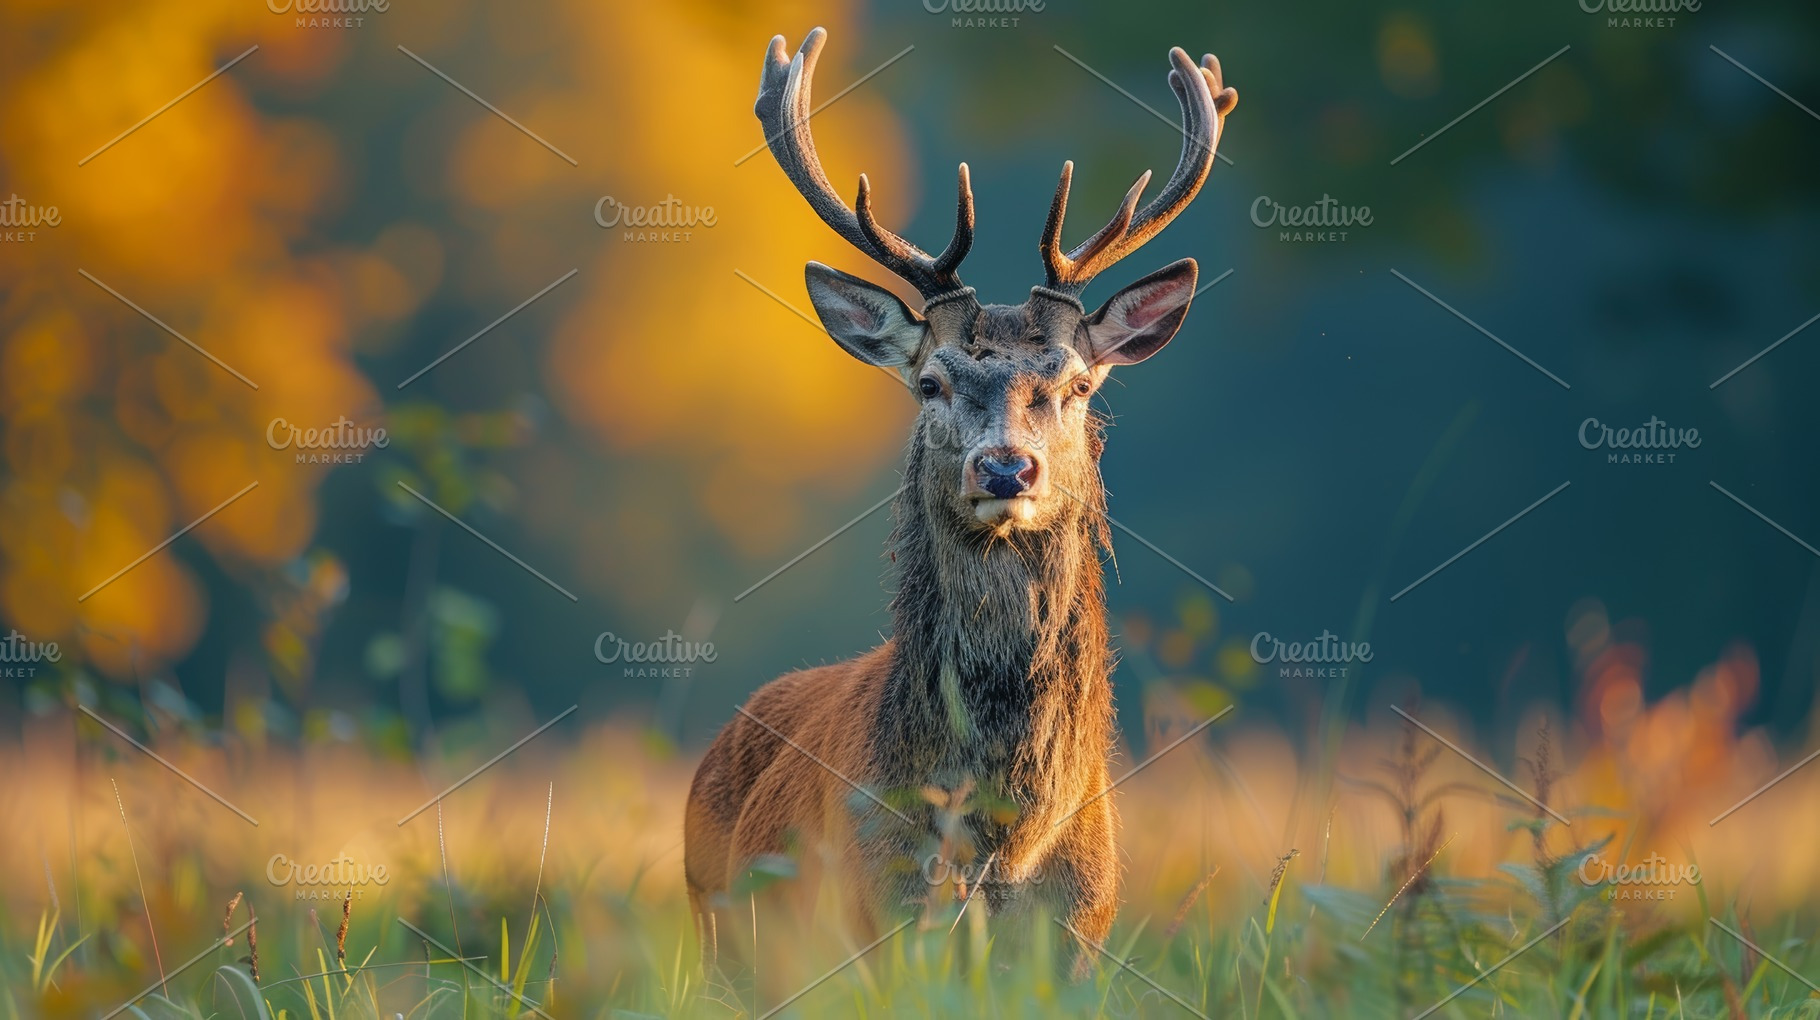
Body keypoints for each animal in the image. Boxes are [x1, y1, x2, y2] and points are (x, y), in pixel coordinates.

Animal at [685, 25, 1236, 985]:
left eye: (1077, 383)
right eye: (931, 382)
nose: (1007, 469)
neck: (998, 845)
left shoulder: (1083, 928)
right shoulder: (881, 916)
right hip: (726, 940)